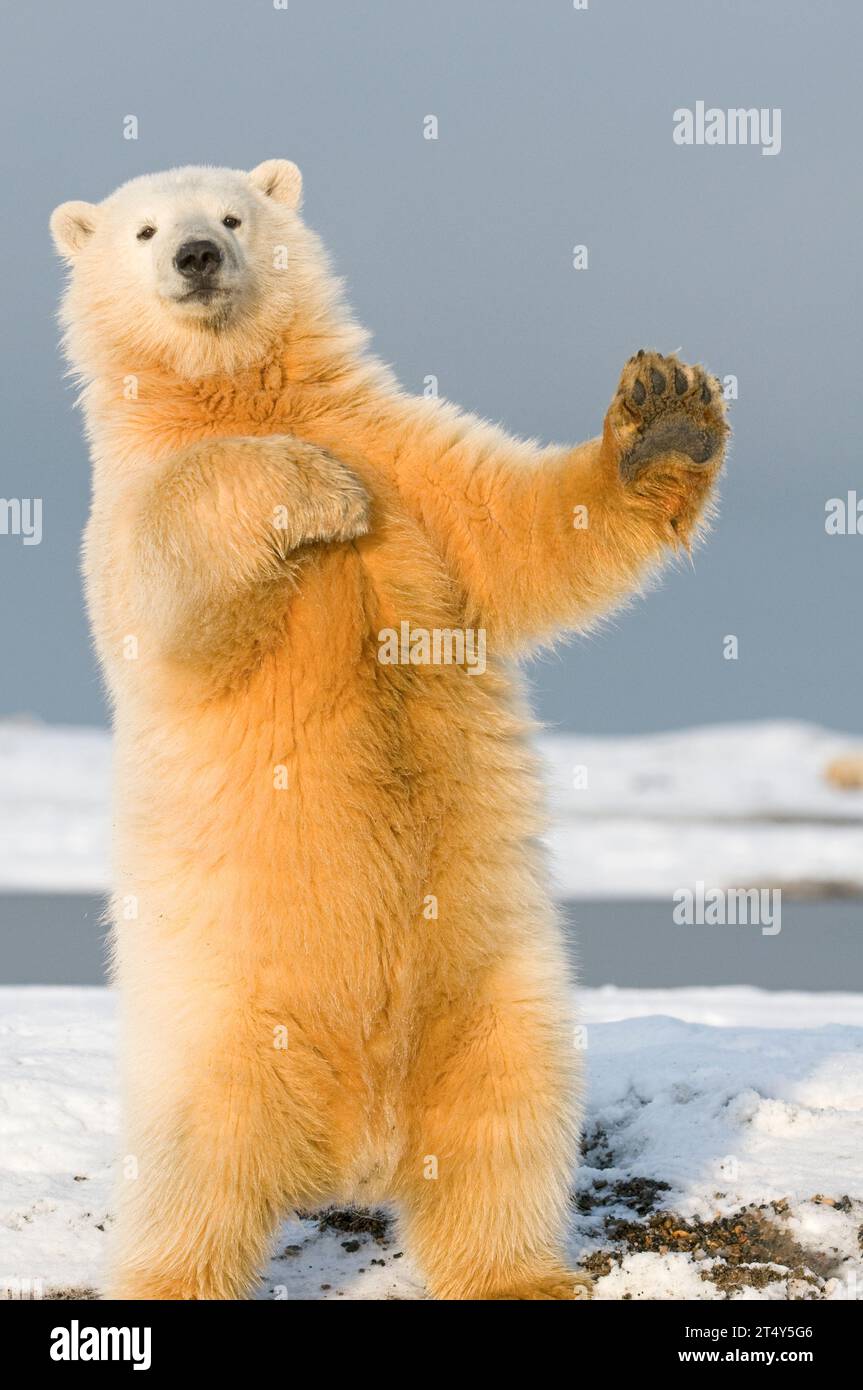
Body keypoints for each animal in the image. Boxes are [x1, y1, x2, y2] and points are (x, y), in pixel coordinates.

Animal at [50, 162, 728, 1301]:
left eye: (232, 214)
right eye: (144, 229)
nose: (197, 257)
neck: (246, 391)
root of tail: (354, 1148)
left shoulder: (414, 465)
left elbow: (528, 530)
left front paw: (664, 409)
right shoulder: (130, 511)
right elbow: (177, 573)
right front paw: (313, 488)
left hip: (497, 996)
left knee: (503, 1138)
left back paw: (519, 1274)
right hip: (217, 1035)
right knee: (193, 1176)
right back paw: (171, 1274)